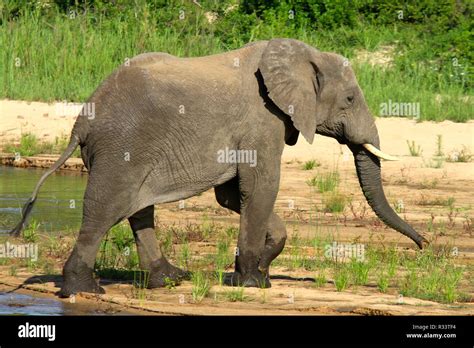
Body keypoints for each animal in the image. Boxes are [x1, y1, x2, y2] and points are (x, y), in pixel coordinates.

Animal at [11, 38, 428, 294]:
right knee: (105, 208)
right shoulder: (263, 119)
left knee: (138, 209)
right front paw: (254, 281)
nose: (424, 244)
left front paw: (256, 269)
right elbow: (260, 187)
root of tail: (81, 120)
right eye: (350, 98)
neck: (299, 54)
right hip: (121, 147)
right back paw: (84, 289)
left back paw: (170, 279)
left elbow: (234, 195)